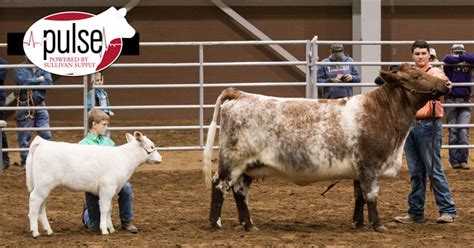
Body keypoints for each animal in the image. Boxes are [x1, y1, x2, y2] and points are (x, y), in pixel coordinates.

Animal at [26, 132, 163, 238]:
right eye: (152, 146)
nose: (161, 158)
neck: (124, 159)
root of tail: (43, 142)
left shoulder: (111, 190)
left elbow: (109, 209)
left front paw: (111, 229)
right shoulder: (107, 188)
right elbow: (104, 209)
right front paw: (104, 230)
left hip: (44, 187)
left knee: (41, 207)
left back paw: (49, 230)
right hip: (42, 185)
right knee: (34, 202)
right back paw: (35, 232)